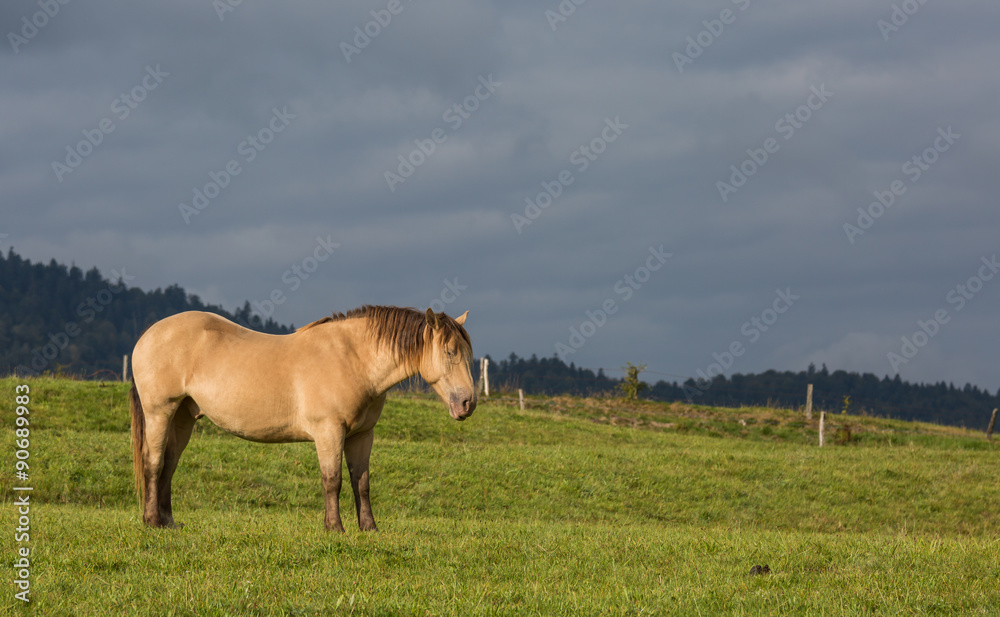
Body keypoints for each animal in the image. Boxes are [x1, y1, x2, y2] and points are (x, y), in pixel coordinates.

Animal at [129, 305, 476, 532]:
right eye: (449, 352)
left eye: (468, 353)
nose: (468, 403)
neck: (353, 359)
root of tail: (147, 336)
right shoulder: (329, 432)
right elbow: (332, 480)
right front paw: (334, 528)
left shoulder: (362, 435)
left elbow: (361, 482)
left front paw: (369, 528)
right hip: (160, 411)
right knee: (153, 462)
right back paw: (152, 522)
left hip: (183, 417)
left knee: (169, 464)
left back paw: (169, 522)